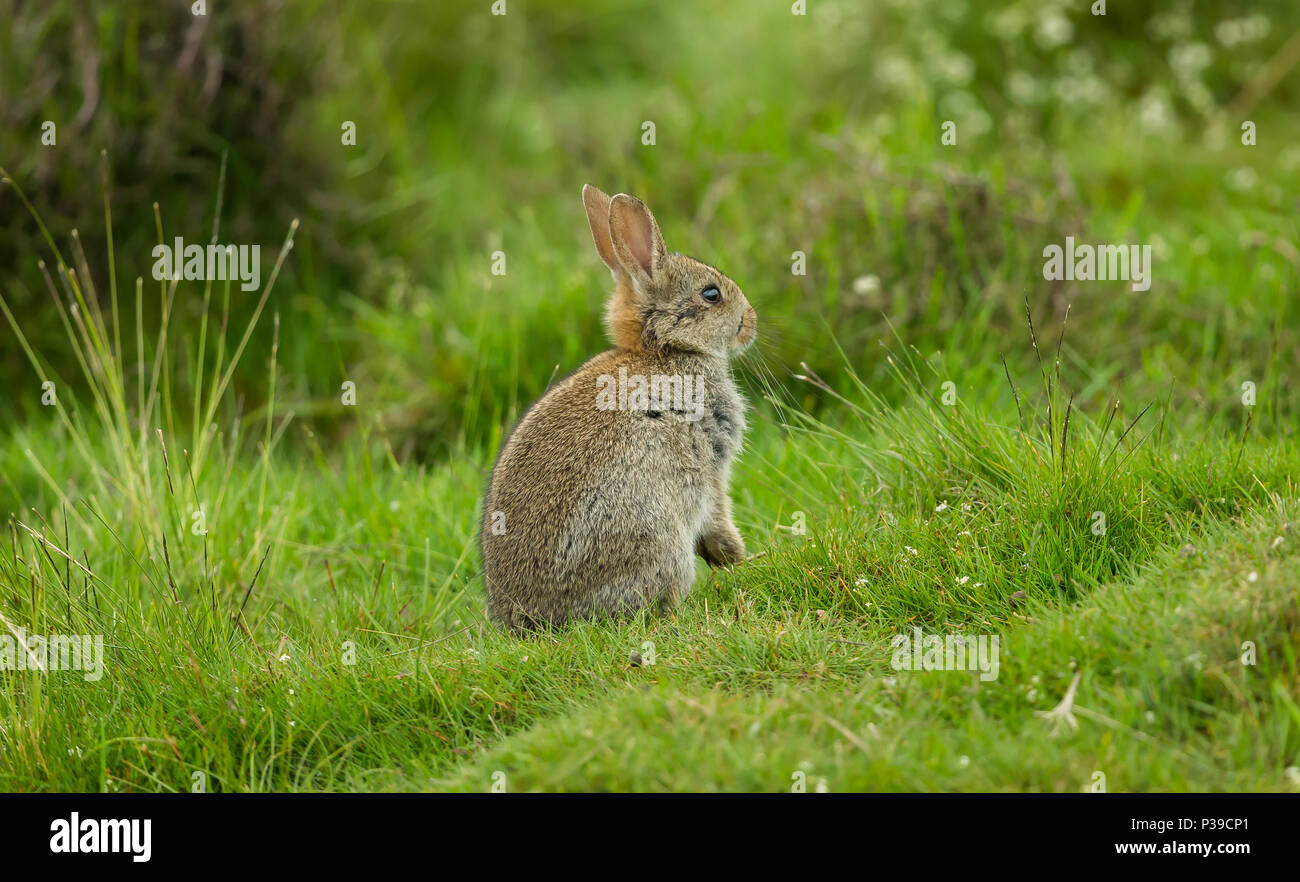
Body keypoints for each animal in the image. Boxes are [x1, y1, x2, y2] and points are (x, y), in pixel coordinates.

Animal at [480, 184, 757, 631]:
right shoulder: (708, 461)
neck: (664, 350)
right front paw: (734, 554)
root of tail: (533, 620)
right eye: (711, 294)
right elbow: (717, 509)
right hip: (653, 533)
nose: (751, 321)